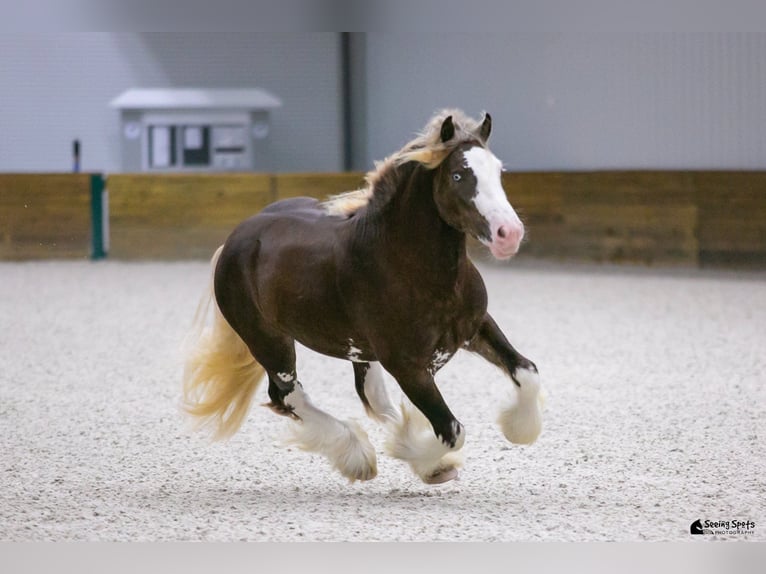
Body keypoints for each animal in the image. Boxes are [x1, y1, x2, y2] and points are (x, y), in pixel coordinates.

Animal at [182, 109, 544, 486]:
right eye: (458, 174)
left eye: (498, 171)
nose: (509, 234)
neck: (409, 266)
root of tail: (235, 239)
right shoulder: (406, 365)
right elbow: (452, 429)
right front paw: (426, 461)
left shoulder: (475, 327)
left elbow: (527, 372)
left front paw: (518, 431)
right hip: (269, 342)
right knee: (287, 395)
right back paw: (356, 456)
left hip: (359, 350)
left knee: (369, 395)